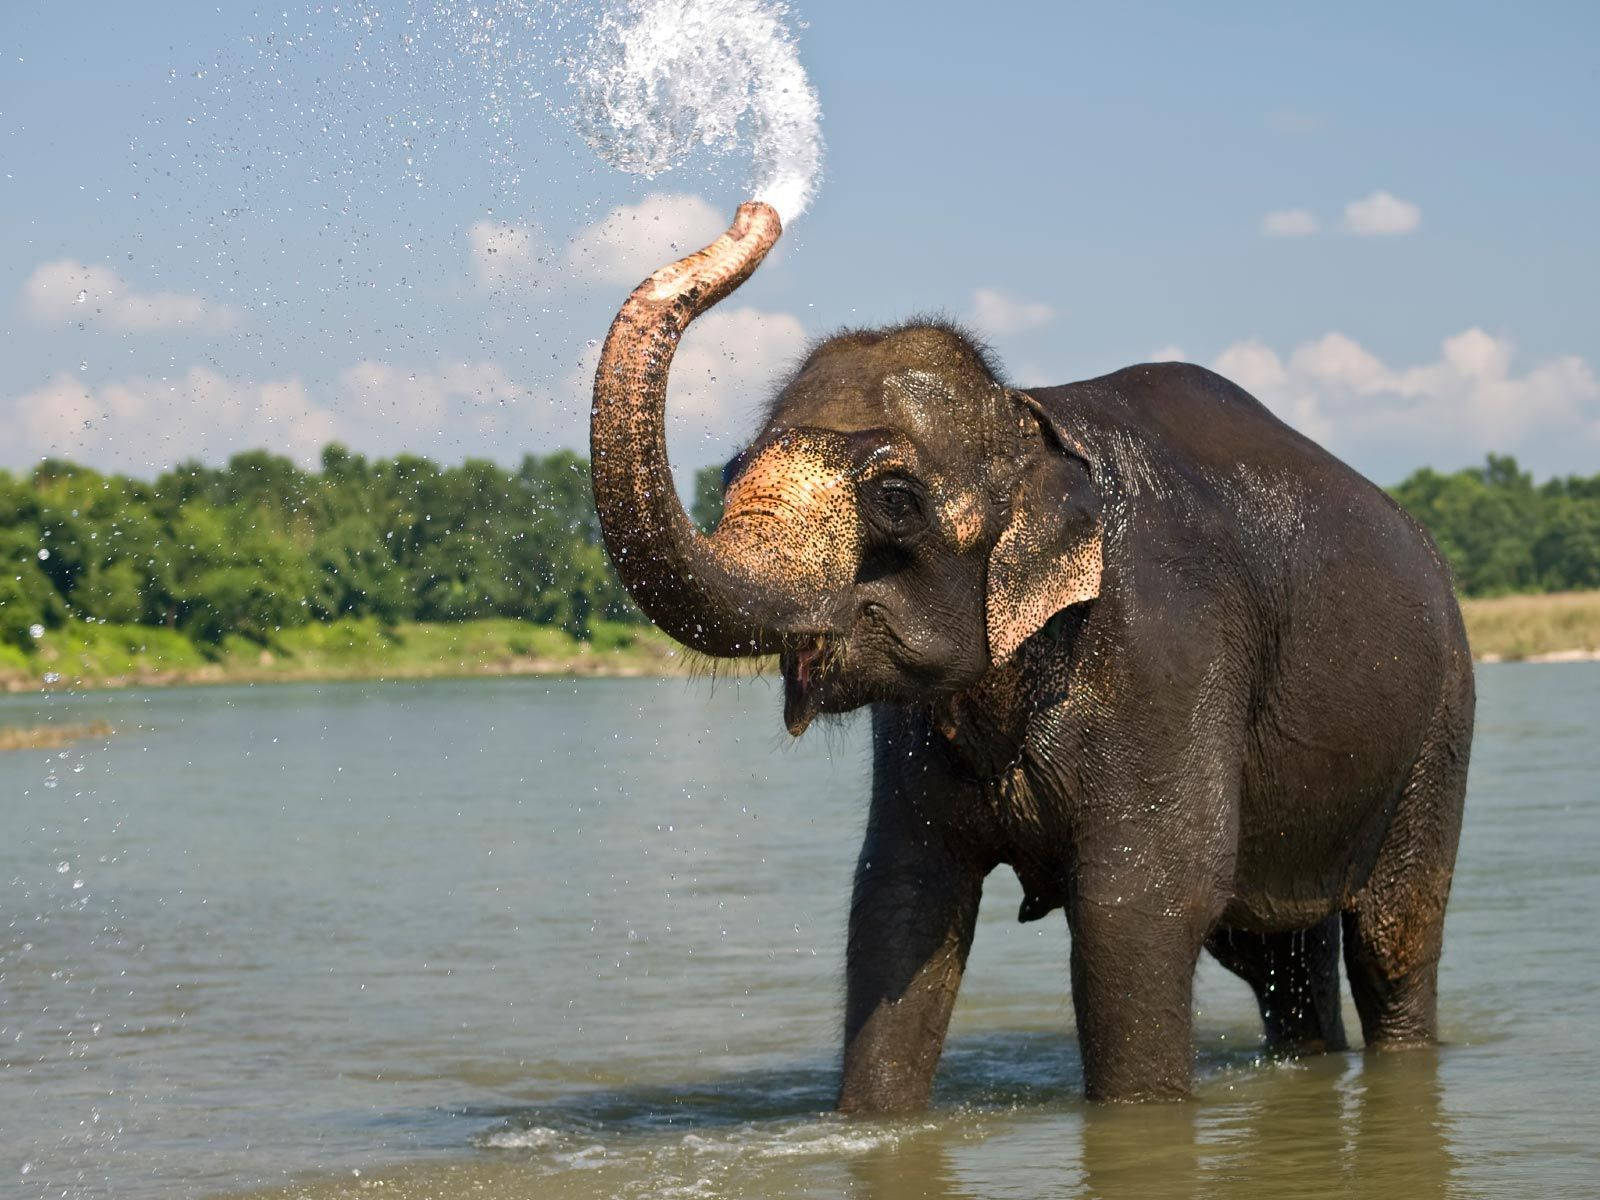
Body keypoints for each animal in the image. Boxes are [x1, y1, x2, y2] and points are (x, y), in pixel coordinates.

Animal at [588, 202, 1472, 1113]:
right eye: (729, 470)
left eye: (895, 500)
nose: (754, 212)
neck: (1030, 418)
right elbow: (901, 900)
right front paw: (872, 1122)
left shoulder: (1168, 650)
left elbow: (1139, 905)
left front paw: (1139, 1120)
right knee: (1274, 953)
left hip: (1441, 721)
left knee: (1392, 939)